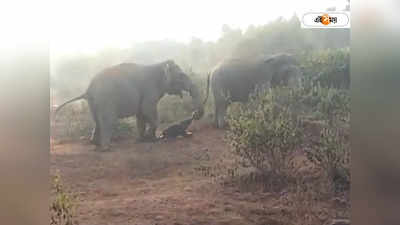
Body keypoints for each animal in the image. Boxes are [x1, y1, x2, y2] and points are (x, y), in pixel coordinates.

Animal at [55, 59, 205, 151]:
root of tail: (88, 89)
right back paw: (106, 148)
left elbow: (141, 115)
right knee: (108, 121)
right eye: (181, 75)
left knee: (97, 120)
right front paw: (152, 138)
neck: (159, 64)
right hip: (106, 99)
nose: (195, 114)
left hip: (94, 102)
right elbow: (147, 110)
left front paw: (143, 140)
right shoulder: (150, 89)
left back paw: (95, 144)